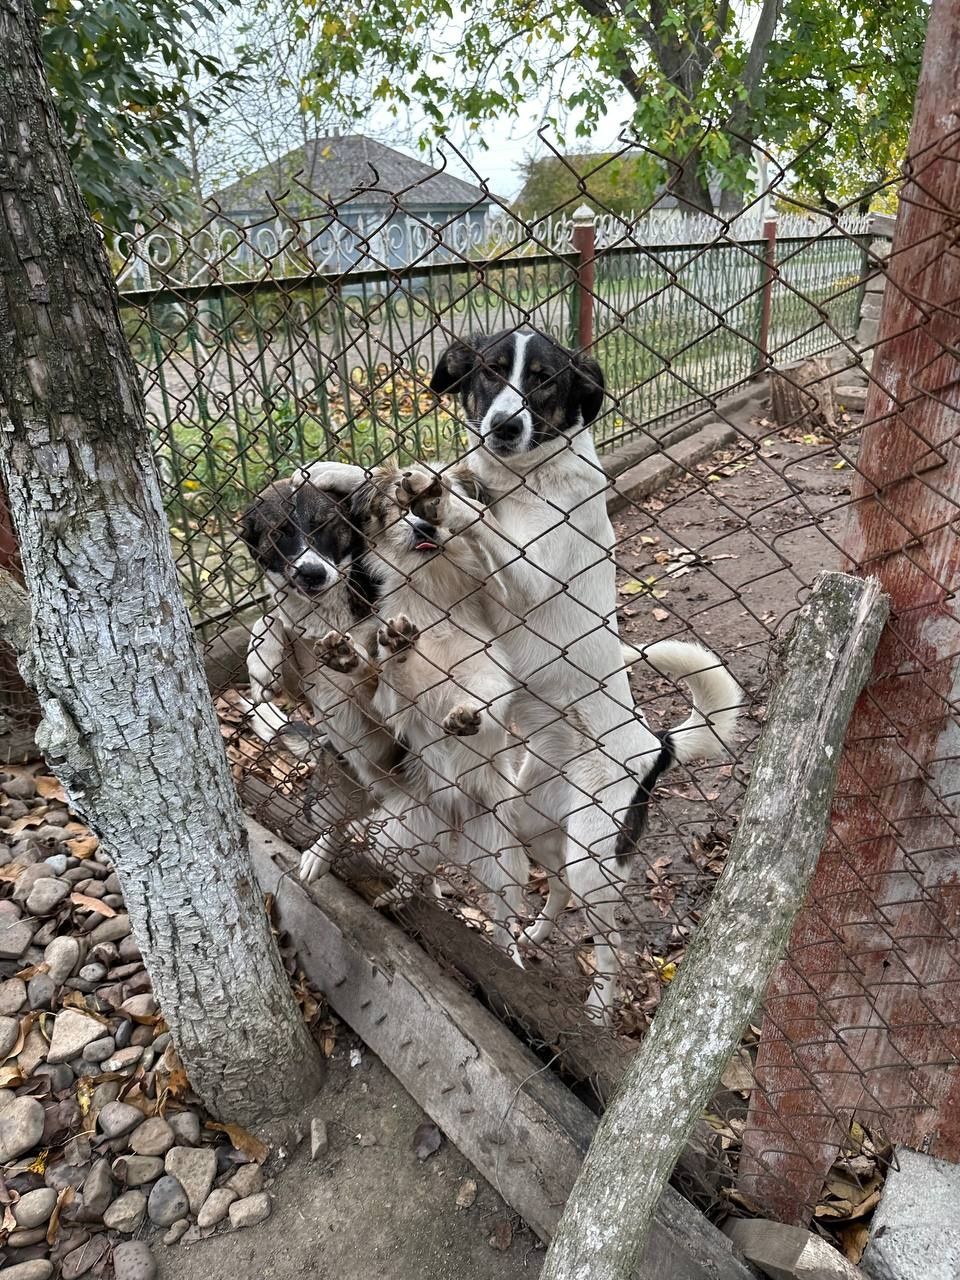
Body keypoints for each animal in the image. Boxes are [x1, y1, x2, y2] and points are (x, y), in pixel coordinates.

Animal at [430, 330, 742, 1018]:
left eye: (545, 380)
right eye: (491, 371)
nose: (504, 426)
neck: (523, 478)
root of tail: (658, 745)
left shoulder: (529, 569)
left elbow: (479, 522)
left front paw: (440, 490)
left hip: (593, 858)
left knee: (613, 939)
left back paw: (599, 1005)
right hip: (536, 824)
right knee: (560, 892)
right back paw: (533, 935)